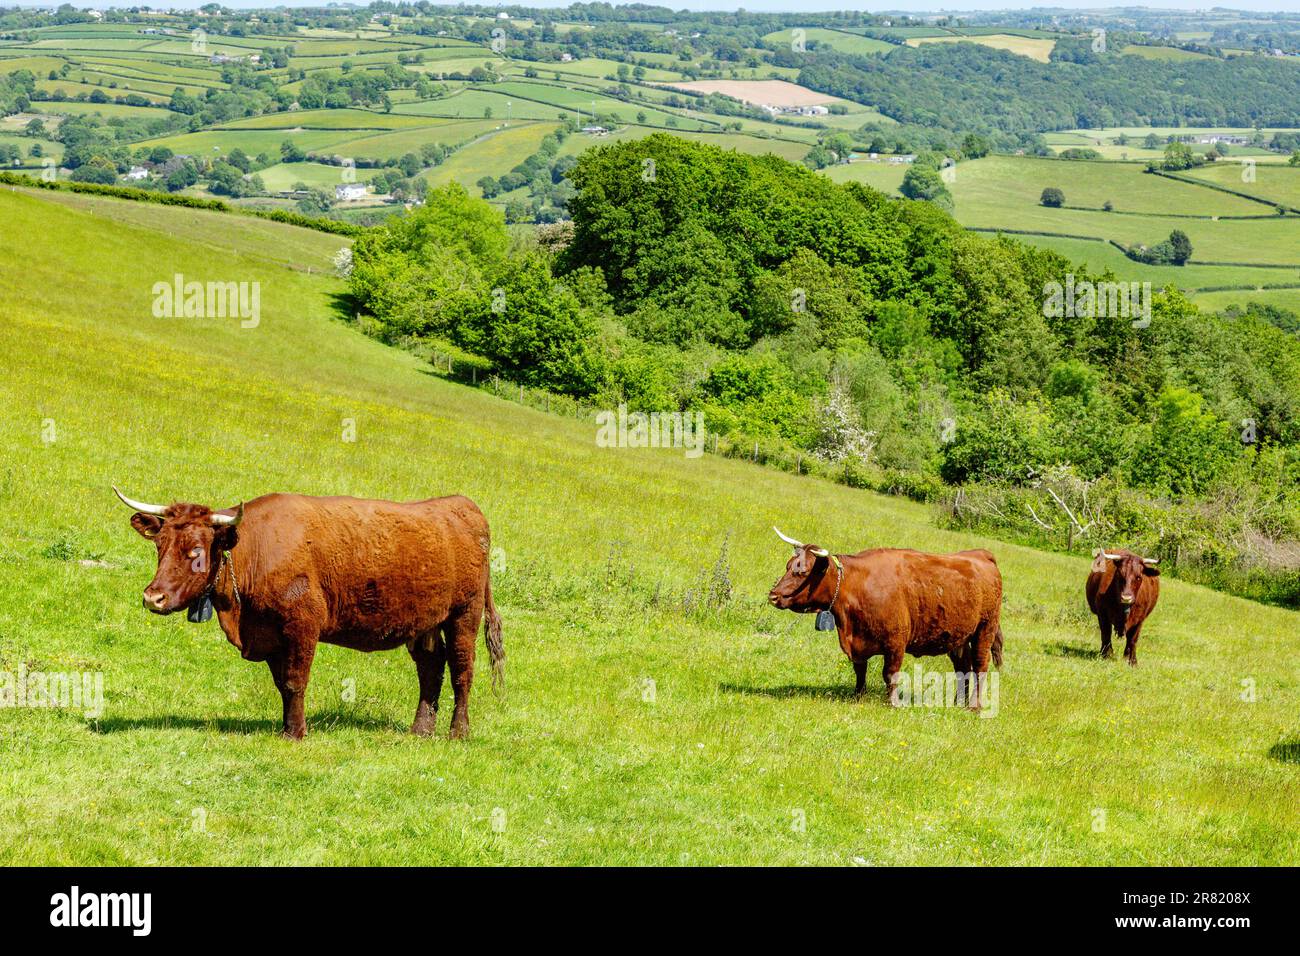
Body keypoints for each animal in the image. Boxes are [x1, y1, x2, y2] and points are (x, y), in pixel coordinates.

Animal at [113, 486, 504, 740]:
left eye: (196, 550)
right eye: (160, 546)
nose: (153, 597)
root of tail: (462, 506)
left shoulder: (302, 626)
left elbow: (294, 680)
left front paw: (296, 733)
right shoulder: (270, 635)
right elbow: (282, 684)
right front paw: (288, 726)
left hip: (464, 615)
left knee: (462, 671)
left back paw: (458, 732)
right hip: (424, 623)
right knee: (431, 669)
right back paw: (421, 730)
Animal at [767, 528, 1003, 709]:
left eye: (802, 571)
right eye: (788, 565)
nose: (773, 595)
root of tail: (981, 554)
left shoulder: (896, 642)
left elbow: (890, 674)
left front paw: (893, 703)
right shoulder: (858, 645)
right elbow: (860, 672)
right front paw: (858, 697)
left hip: (985, 629)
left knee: (980, 665)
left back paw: (974, 706)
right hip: (959, 637)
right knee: (963, 668)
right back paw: (958, 702)